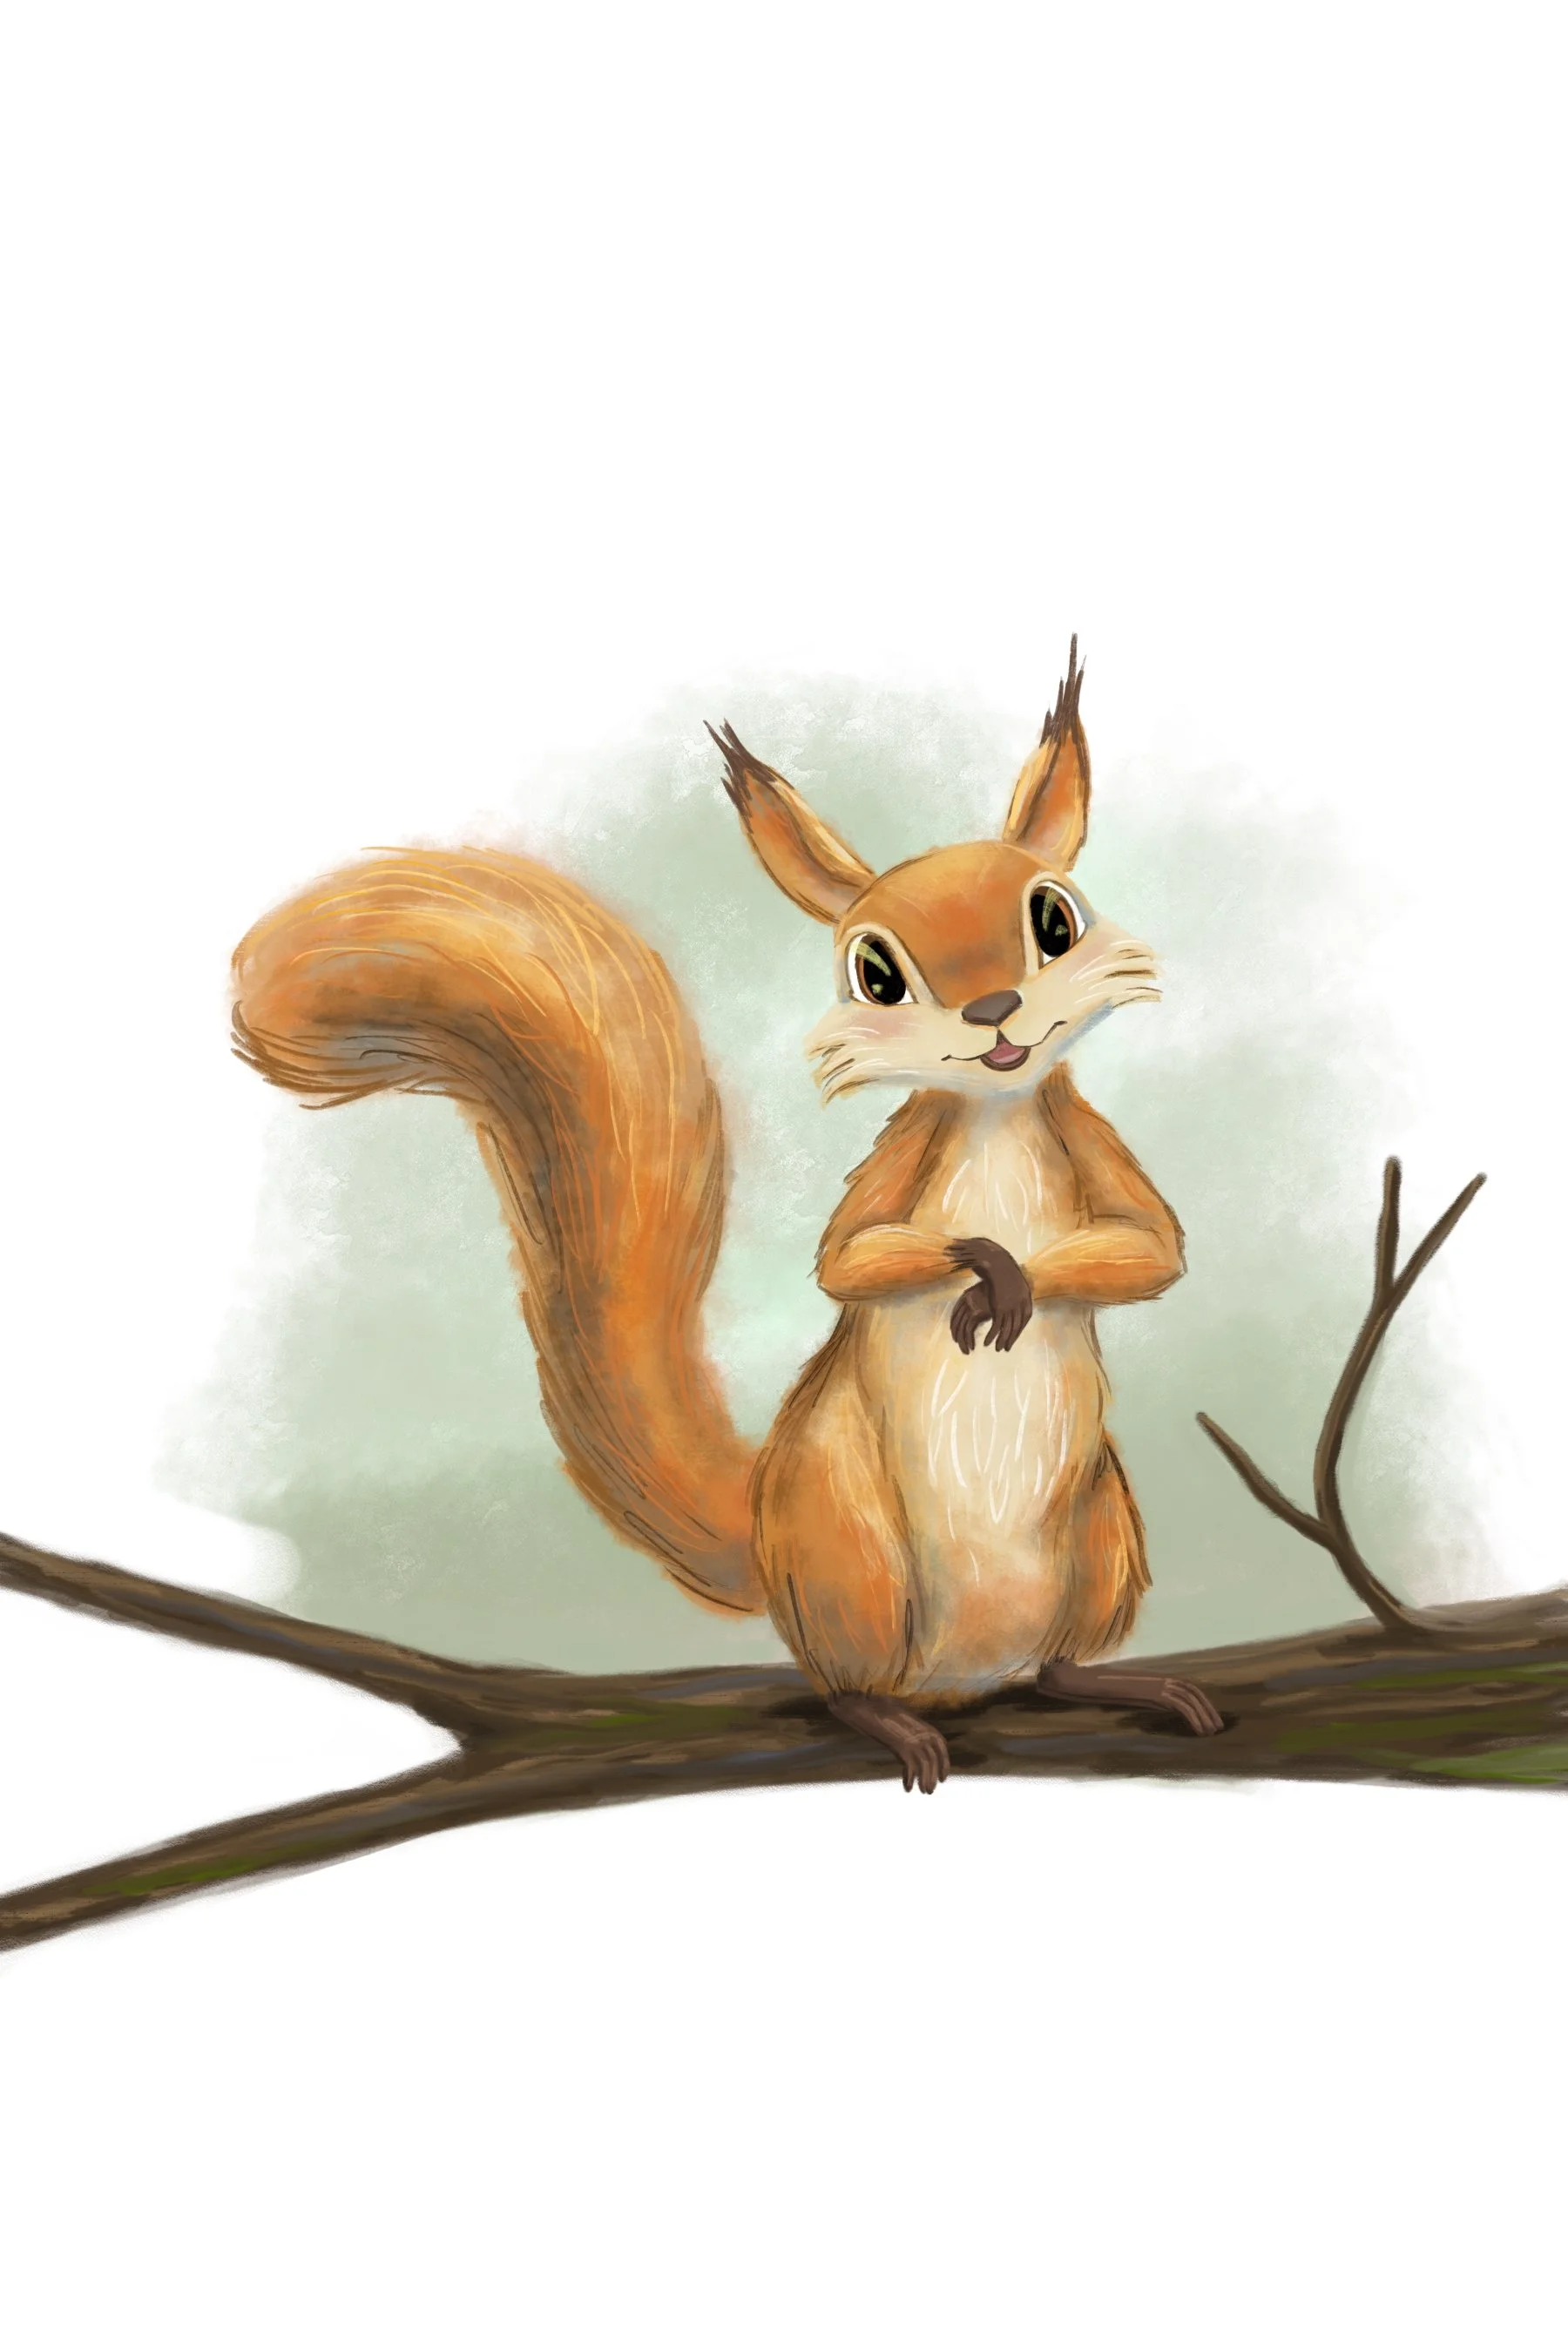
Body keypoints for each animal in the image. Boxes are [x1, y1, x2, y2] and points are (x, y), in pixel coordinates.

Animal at [231, 639, 1222, 1792]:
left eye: (1055, 921)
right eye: (874, 973)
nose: (993, 1015)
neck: (994, 1111)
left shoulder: (1090, 1143)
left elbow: (1152, 1251)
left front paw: (1015, 1278)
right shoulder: (897, 1167)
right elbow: (848, 1260)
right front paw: (985, 1266)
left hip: (1100, 1532)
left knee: (1056, 1661)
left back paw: (1117, 1685)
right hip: (851, 1552)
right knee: (844, 1682)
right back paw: (891, 1721)